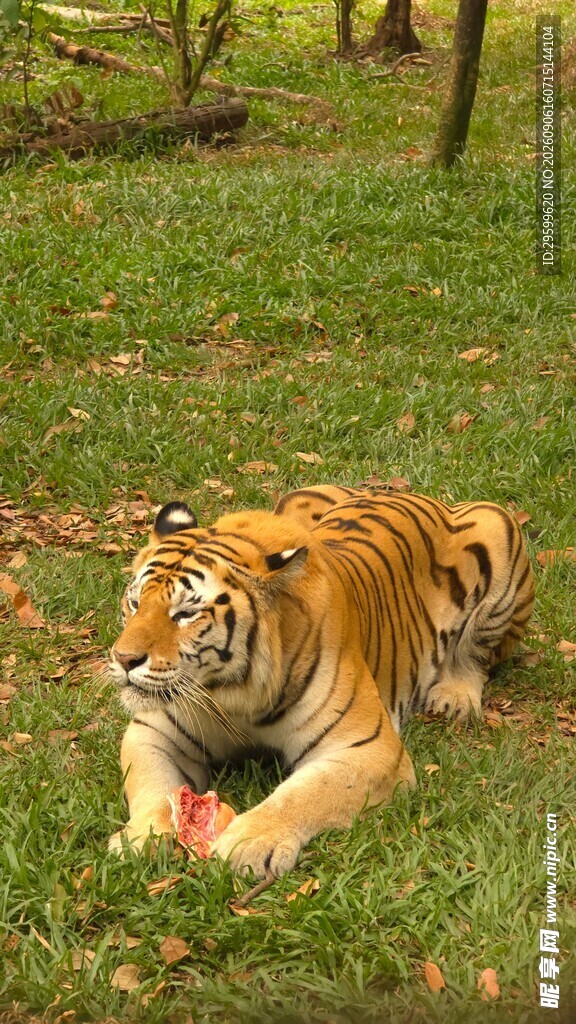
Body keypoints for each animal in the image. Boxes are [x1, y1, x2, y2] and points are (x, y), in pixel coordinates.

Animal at [108, 484, 534, 878]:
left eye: (184, 614)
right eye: (134, 603)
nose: (124, 659)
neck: (233, 694)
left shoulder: (368, 748)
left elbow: (303, 795)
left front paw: (248, 843)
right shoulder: (154, 731)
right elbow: (154, 788)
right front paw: (140, 837)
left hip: (498, 529)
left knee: (475, 654)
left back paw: (454, 697)